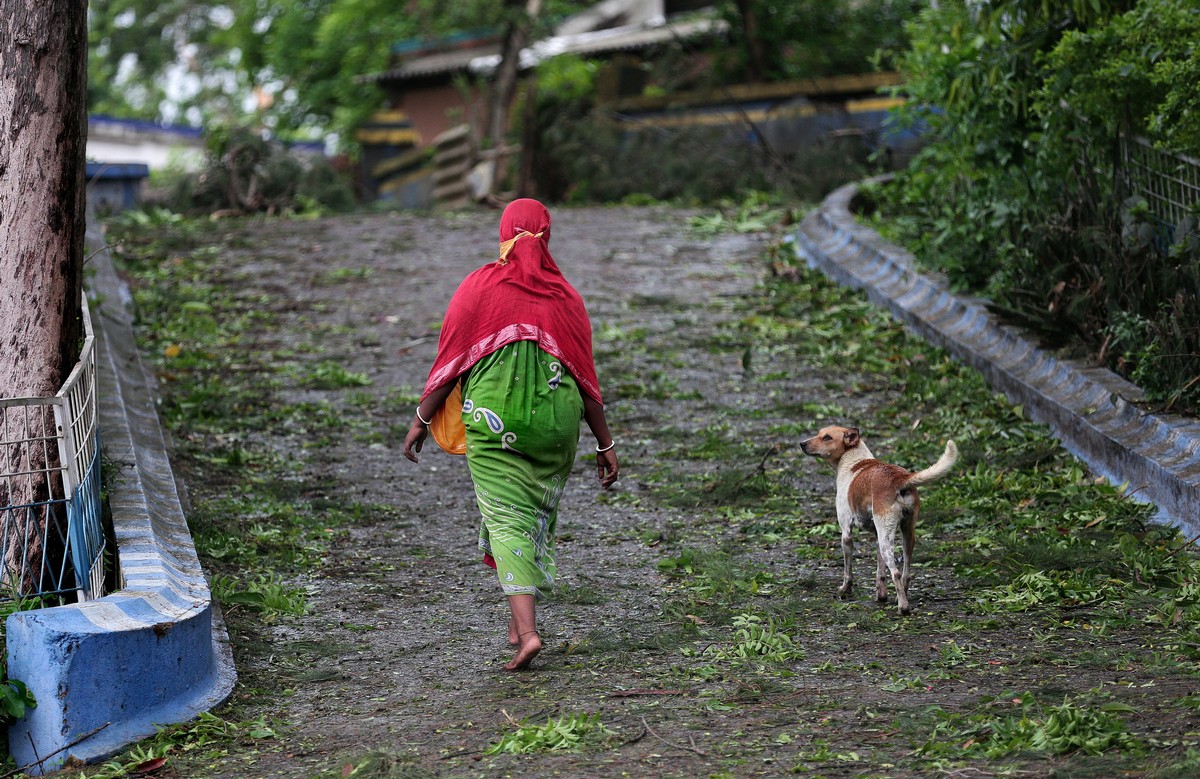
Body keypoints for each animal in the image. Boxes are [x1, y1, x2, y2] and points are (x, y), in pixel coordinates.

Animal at [801, 424, 960, 614]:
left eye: (827, 437)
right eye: (819, 434)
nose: (802, 444)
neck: (853, 461)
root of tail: (900, 478)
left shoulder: (846, 534)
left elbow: (848, 571)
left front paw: (844, 590)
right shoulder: (877, 535)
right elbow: (880, 574)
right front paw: (881, 596)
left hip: (886, 543)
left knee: (896, 573)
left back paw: (903, 607)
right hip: (905, 535)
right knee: (905, 573)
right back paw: (902, 597)